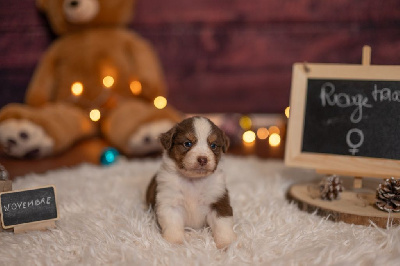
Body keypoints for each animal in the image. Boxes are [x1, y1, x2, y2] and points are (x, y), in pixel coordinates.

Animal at [145, 116, 236, 249]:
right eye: (187, 143)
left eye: (213, 145)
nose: (203, 159)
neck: (193, 180)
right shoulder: (170, 203)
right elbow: (173, 225)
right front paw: (175, 243)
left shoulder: (218, 201)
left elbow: (222, 224)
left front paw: (227, 244)